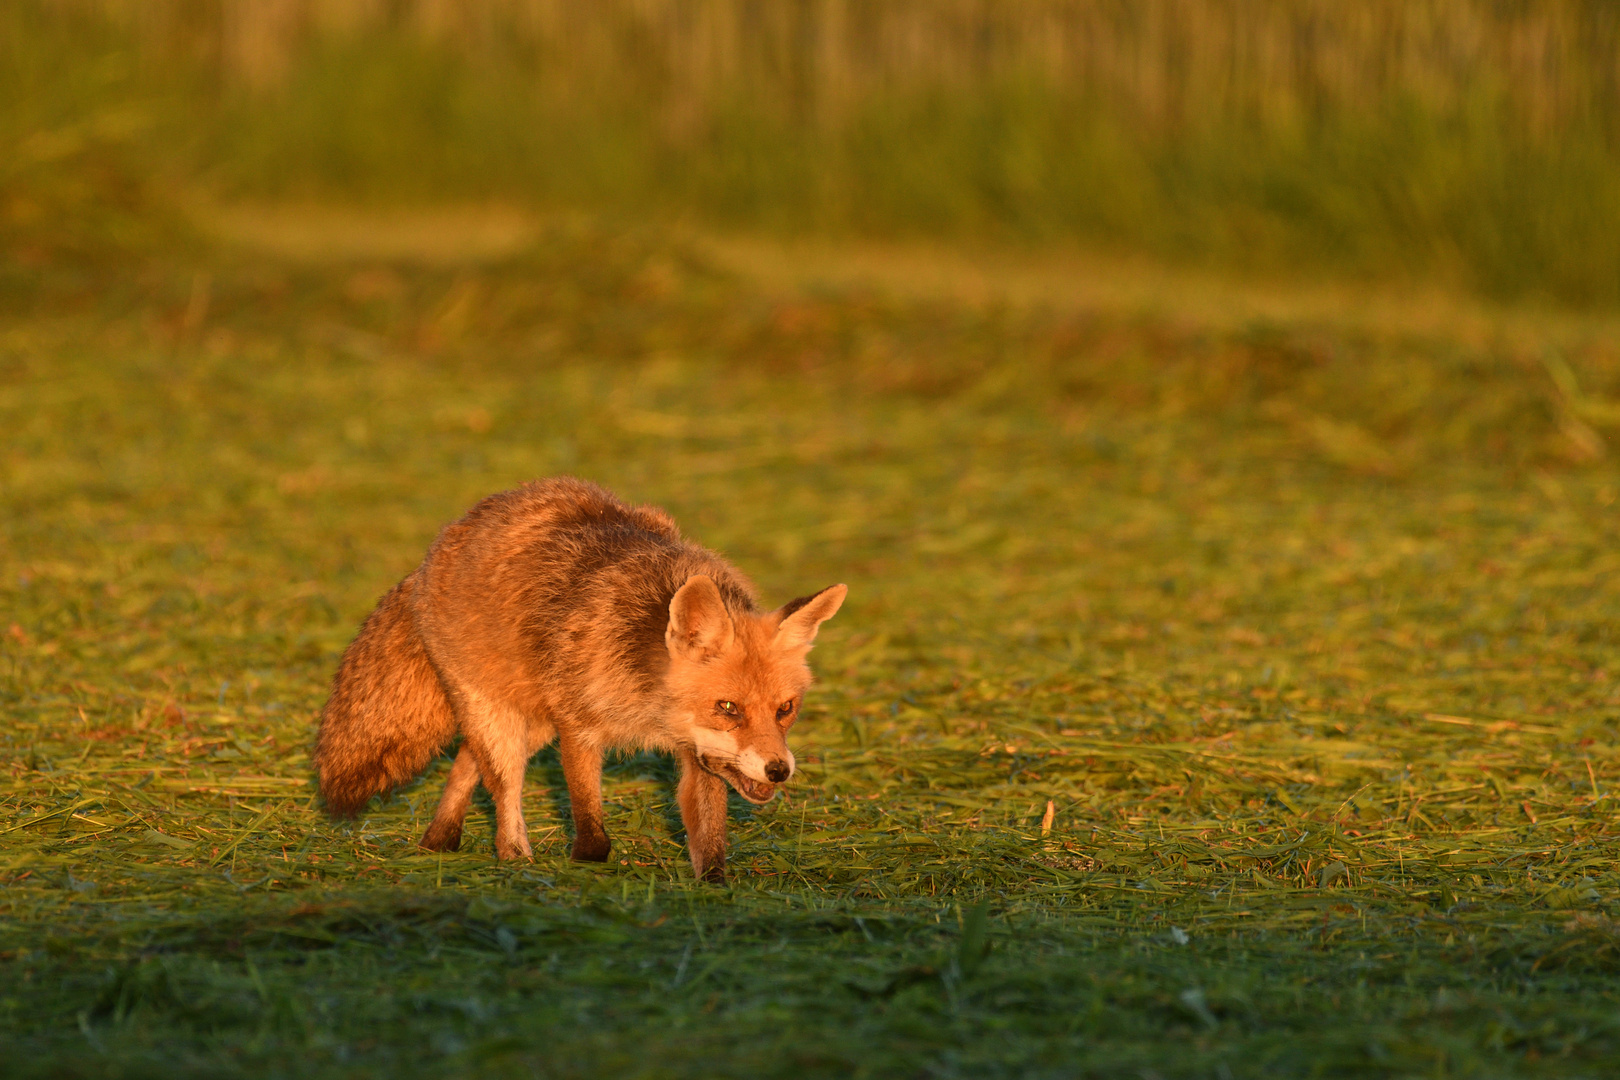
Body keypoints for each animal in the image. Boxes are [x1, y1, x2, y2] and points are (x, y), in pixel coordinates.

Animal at [312, 476, 848, 880]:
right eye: (729, 708)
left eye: (785, 710)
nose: (779, 770)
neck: (644, 699)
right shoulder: (578, 726)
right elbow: (591, 828)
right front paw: (581, 869)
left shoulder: (698, 756)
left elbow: (710, 842)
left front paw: (714, 891)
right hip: (505, 720)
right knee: (502, 790)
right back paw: (517, 863)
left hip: (530, 722)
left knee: (466, 762)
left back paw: (438, 841)